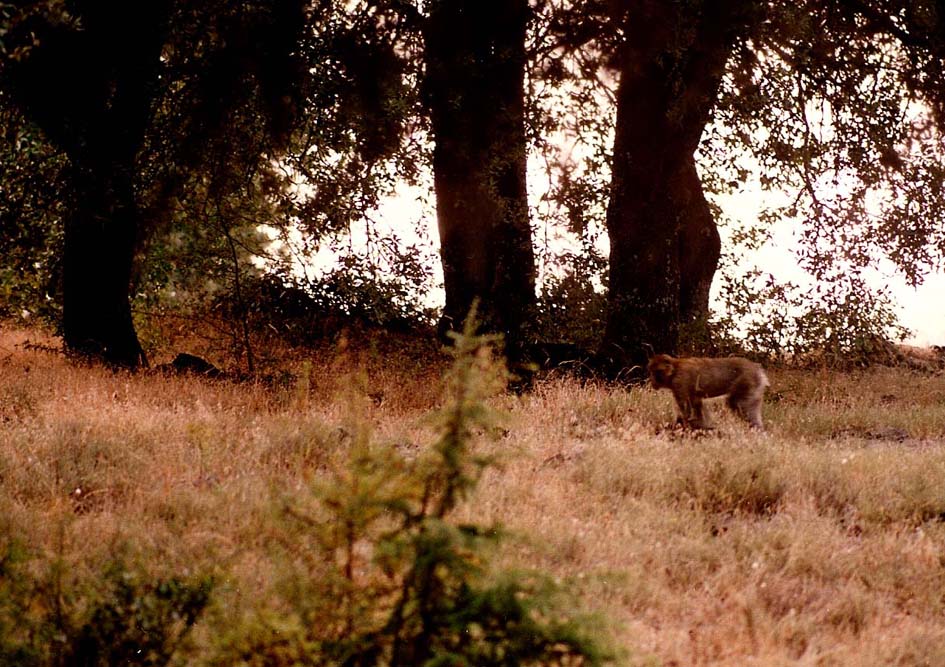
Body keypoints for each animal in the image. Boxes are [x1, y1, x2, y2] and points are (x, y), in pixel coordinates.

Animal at [644, 352, 772, 430]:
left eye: (656, 372)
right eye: (650, 371)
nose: (652, 381)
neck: (675, 370)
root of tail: (757, 370)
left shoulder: (680, 383)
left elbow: (686, 411)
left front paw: (682, 427)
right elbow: (697, 405)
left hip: (747, 381)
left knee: (737, 403)